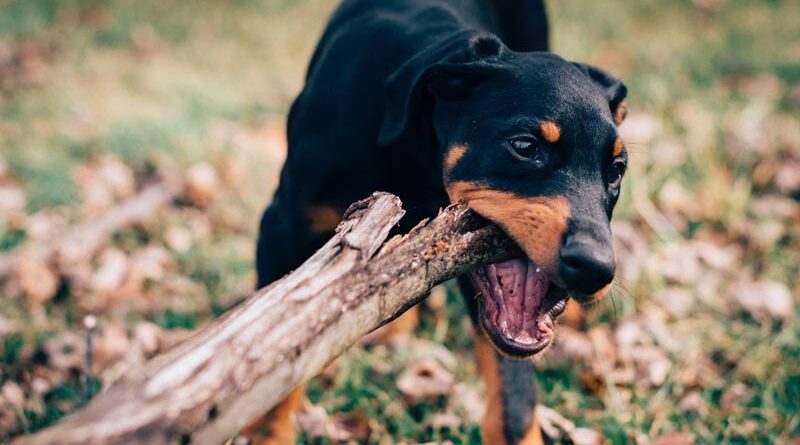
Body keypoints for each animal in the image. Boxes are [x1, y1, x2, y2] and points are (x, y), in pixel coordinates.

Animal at [248, 1, 624, 442]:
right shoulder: (282, 228)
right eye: (524, 146)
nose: (596, 269)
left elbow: (513, 399)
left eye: (616, 170)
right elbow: (276, 369)